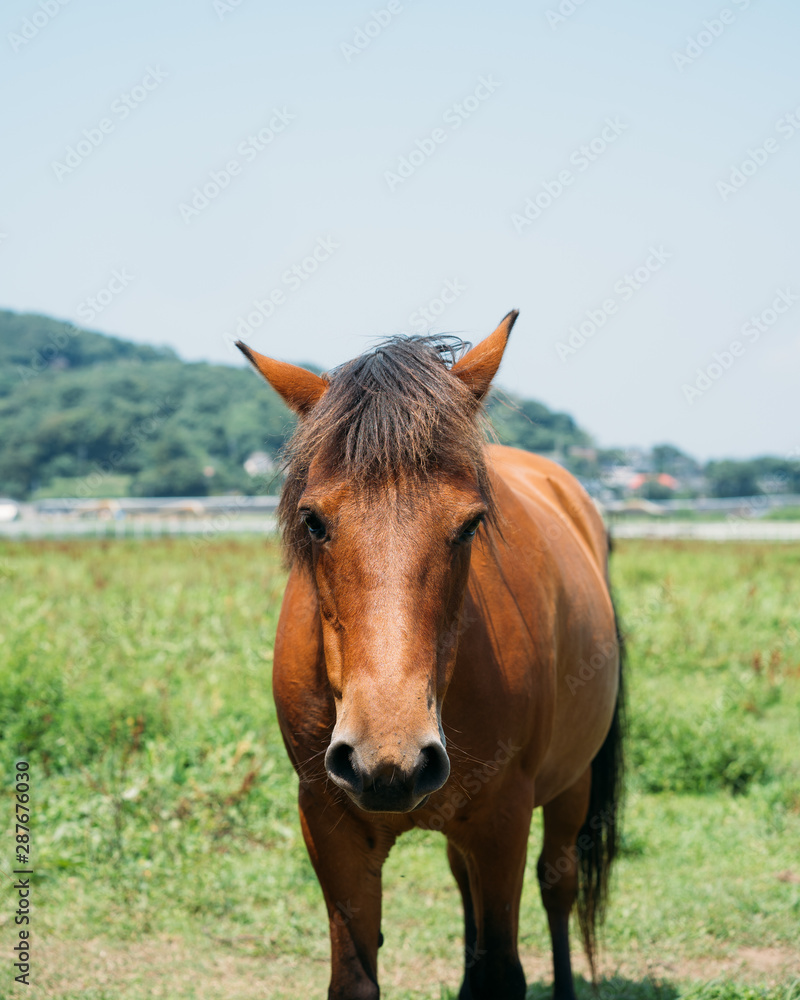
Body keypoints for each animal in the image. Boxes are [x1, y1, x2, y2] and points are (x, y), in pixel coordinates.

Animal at [237, 311, 624, 1000]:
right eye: (312, 521)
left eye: (470, 525)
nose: (387, 761)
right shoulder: (329, 821)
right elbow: (356, 977)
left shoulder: (503, 819)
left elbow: (501, 971)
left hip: (569, 788)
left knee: (558, 889)